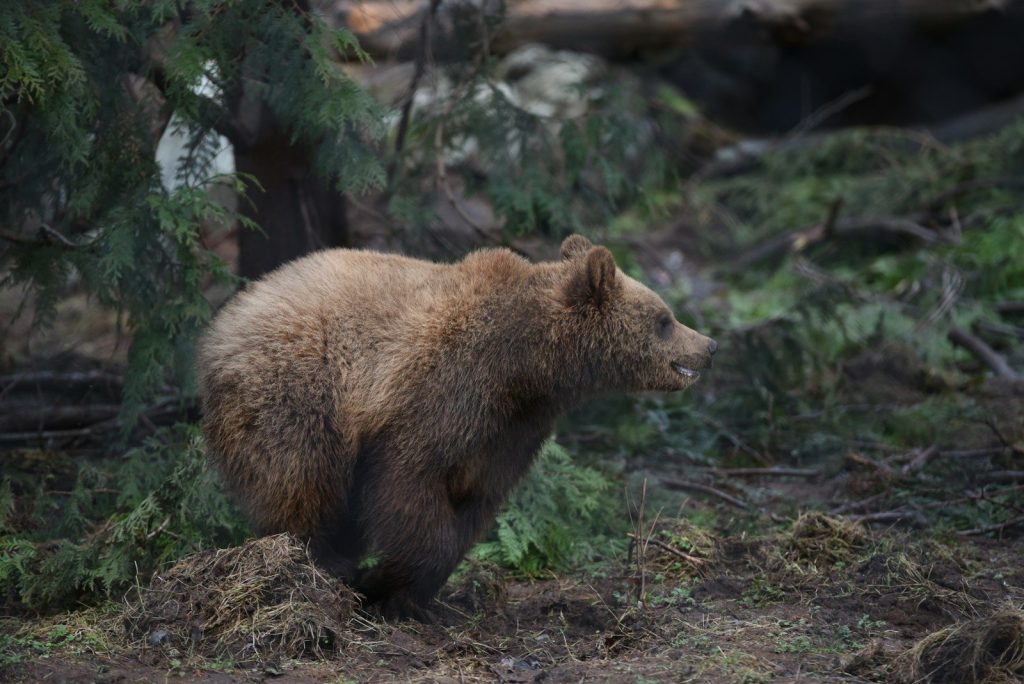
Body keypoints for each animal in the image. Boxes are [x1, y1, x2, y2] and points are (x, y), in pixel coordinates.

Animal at [197, 234, 716, 619]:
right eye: (665, 319)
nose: (709, 344)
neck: (527, 365)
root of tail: (221, 325)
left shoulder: (511, 429)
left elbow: (475, 501)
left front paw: (403, 590)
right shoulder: (443, 389)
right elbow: (409, 480)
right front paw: (385, 587)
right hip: (296, 391)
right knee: (302, 479)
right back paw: (318, 566)